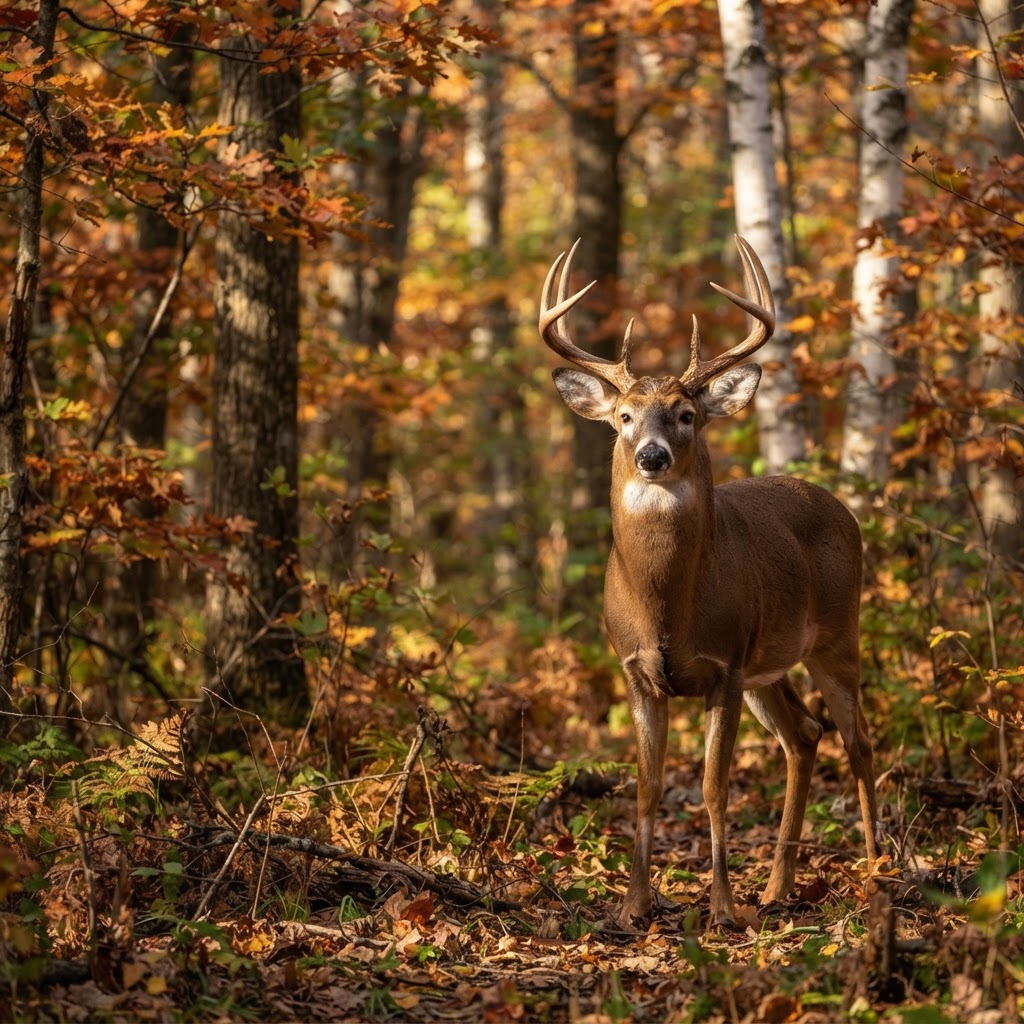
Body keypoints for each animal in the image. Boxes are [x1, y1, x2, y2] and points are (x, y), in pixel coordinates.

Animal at [538, 235, 879, 928]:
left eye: (687, 414)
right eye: (623, 416)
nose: (652, 455)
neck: (670, 605)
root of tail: (840, 506)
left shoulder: (724, 665)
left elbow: (713, 787)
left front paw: (722, 906)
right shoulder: (638, 668)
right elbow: (648, 787)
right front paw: (634, 906)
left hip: (836, 637)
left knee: (859, 742)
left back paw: (881, 873)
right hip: (768, 668)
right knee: (805, 736)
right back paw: (777, 887)